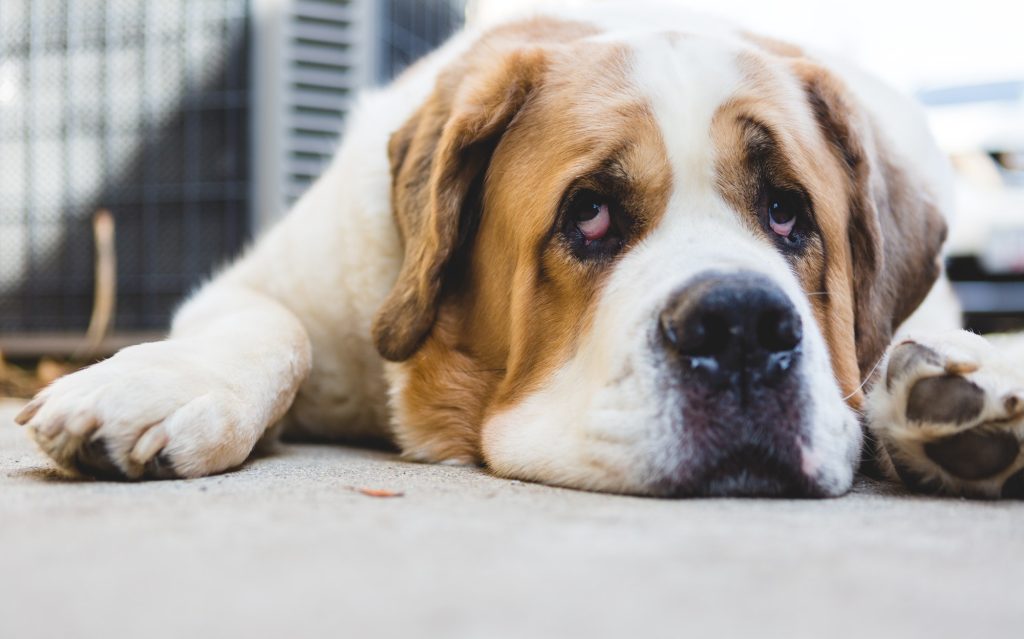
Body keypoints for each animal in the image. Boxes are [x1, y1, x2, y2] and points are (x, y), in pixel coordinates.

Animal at [14, 1, 1024, 499]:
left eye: (787, 213)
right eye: (589, 215)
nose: (739, 326)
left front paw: (960, 385)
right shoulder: (278, 284)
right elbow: (272, 328)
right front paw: (160, 385)